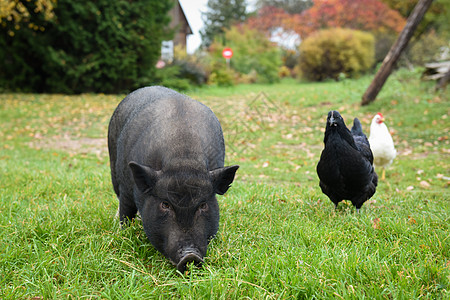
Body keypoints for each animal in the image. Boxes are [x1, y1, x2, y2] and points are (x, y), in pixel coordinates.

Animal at [108, 85, 239, 272]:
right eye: (165, 204)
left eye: (203, 205)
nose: (190, 256)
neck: (183, 160)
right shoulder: (126, 187)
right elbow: (125, 213)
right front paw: (123, 233)